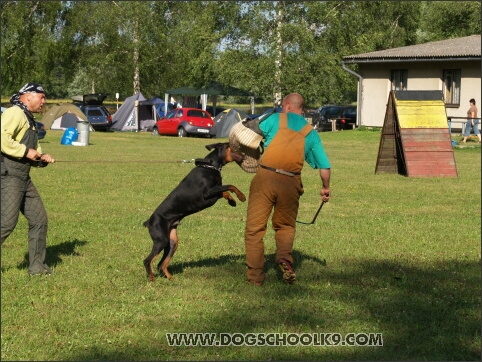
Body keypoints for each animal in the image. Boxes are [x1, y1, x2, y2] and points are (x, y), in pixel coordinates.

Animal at [141, 141, 243, 280]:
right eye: (231, 145)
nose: (244, 152)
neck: (210, 166)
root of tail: (149, 221)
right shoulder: (207, 194)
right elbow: (229, 186)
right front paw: (241, 197)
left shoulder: (213, 192)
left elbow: (224, 191)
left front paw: (232, 201)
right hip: (161, 240)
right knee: (148, 260)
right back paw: (152, 279)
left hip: (172, 242)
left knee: (161, 264)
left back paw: (171, 278)